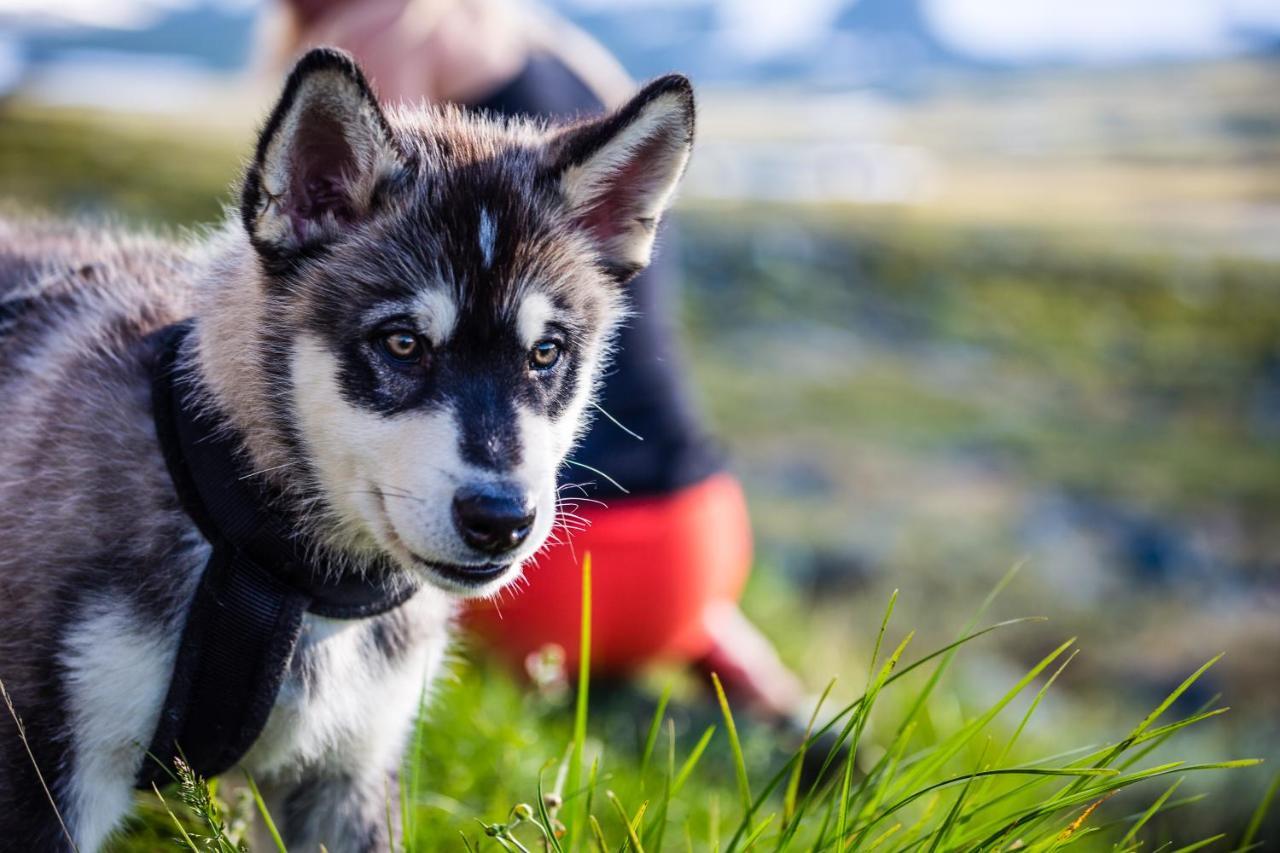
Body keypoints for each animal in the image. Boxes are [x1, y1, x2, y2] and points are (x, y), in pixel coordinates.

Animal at [0, 48, 696, 850]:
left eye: (546, 353)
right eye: (402, 343)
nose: (501, 520)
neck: (282, 571)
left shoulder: (348, 775)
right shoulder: (43, 774)